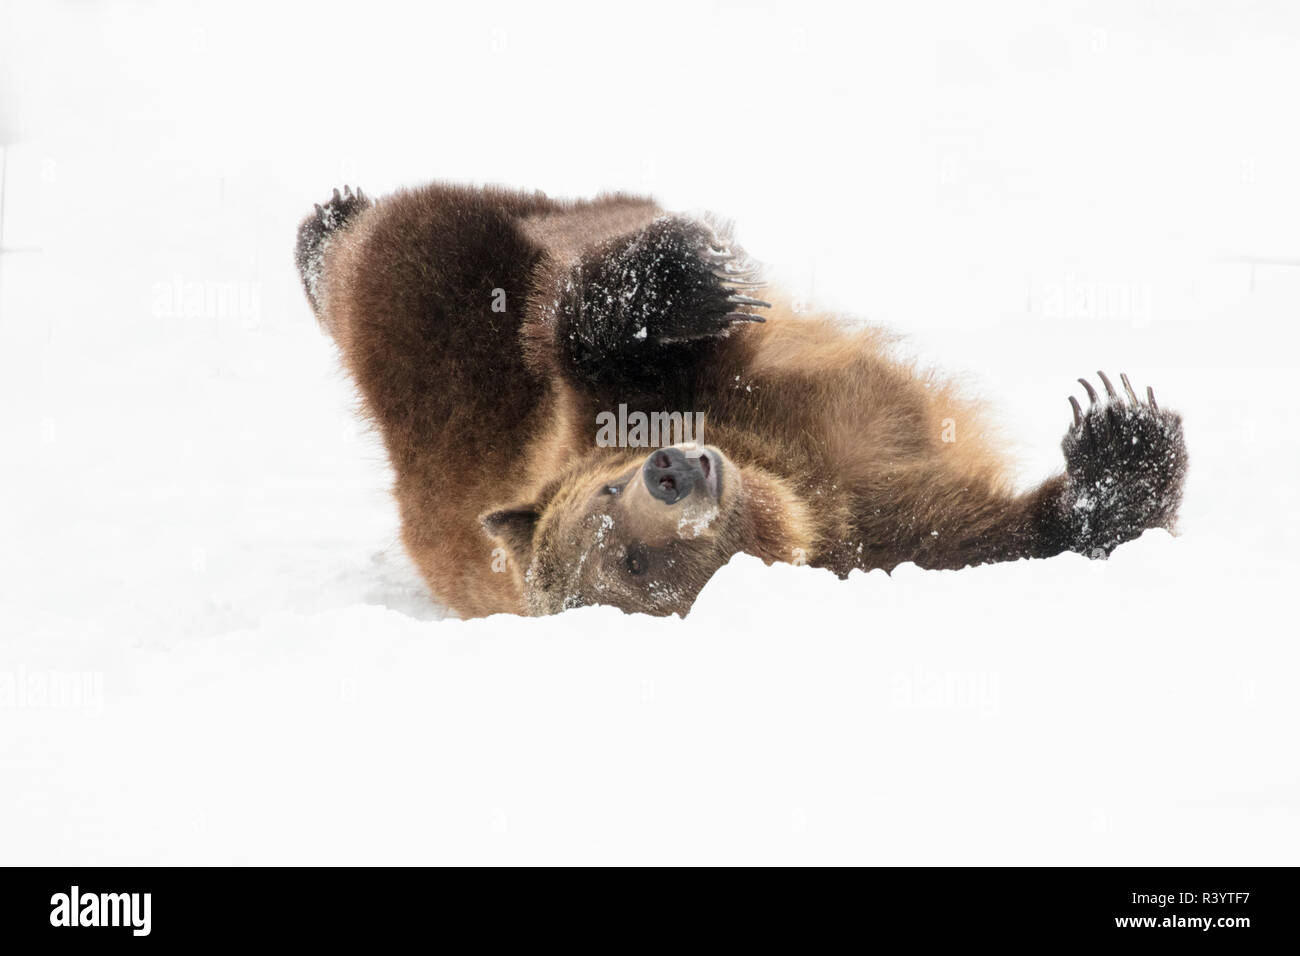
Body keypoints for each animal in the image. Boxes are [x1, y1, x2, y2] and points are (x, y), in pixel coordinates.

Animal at [295, 182, 1190, 621]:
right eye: (634, 563)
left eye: (609, 486)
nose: (669, 472)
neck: (787, 479)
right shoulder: (886, 537)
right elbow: (1017, 534)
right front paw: (1119, 444)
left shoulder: (647, 402)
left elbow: (607, 349)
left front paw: (677, 286)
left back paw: (327, 218)